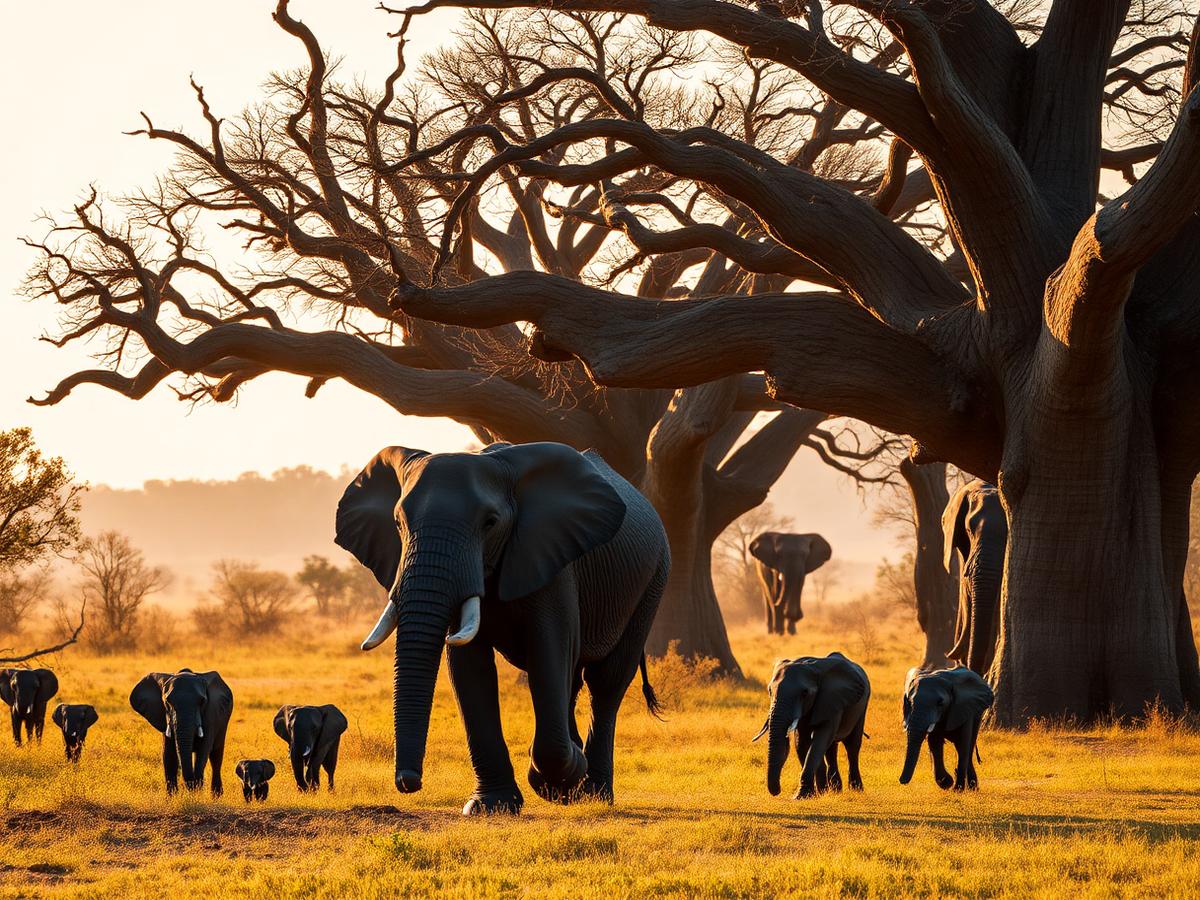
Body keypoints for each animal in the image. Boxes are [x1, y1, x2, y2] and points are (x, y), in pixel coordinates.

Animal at [335, 441, 670, 815]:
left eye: (490, 523)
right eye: (397, 523)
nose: (408, 782)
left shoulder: (552, 558)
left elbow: (549, 649)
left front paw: (560, 773)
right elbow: (469, 667)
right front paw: (489, 806)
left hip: (653, 578)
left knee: (605, 682)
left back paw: (592, 792)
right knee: (570, 682)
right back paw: (567, 787)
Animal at [753, 652, 870, 798]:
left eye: (805, 693)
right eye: (769, 691)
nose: (778, 791)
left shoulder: (831, 701)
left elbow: (820, 739)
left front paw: (802, 795)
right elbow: (801, 742)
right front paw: (816, 793)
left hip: (862, 707)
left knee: (852, 747)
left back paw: (856, 790)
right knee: (831, 749)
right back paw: (835, 790)